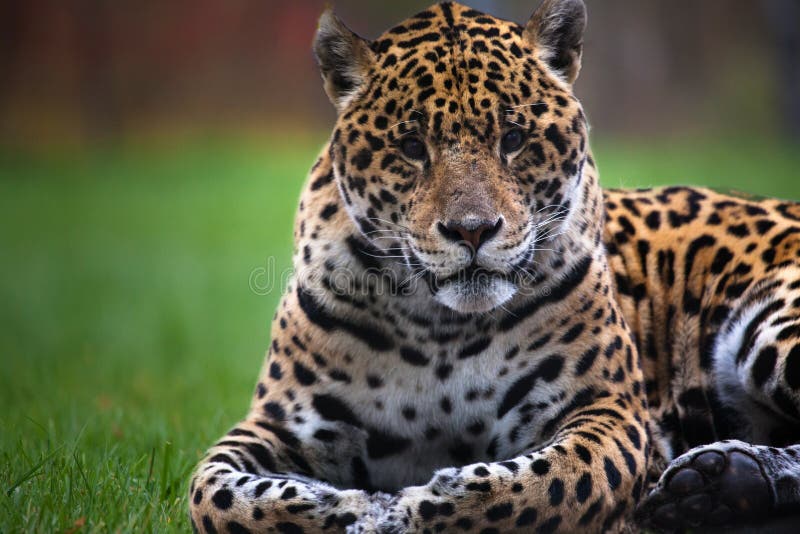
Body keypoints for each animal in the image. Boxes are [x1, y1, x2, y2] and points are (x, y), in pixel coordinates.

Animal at [188, 1, 800, 532]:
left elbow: (551, 483)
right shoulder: (276, 423)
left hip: (775, 325)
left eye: (514, 138)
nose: (472, 230)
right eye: (411, 147)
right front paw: (344, 509)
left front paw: (415, 507)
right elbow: (214, 493)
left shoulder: (609, 412)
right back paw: (721, 483)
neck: (435, 327)